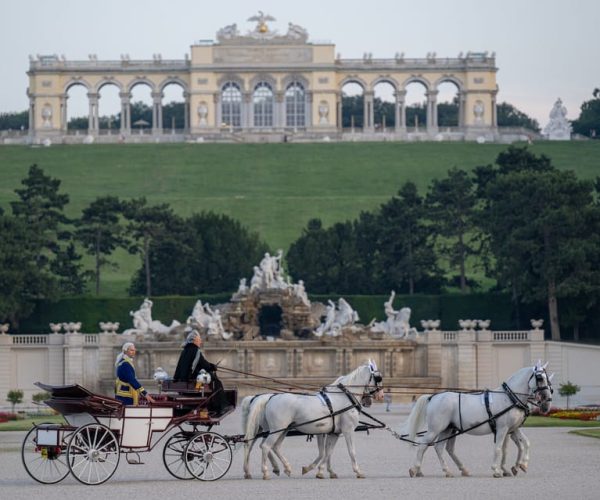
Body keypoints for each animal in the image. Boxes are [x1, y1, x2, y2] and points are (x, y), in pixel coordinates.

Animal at [404, 362, 552, 478]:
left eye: (548, 379)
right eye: (539, 378)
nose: (547, 401)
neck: (509, 397)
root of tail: (433, 397)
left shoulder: (513, 428)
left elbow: (525, 443)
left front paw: (522, 464)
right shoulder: (502, 429)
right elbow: (498, 448)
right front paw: (496, 470)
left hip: (448, 429)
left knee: (440, 447)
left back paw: (449, 471)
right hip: (435, 429)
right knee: (423, 445)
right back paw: (415, 469)